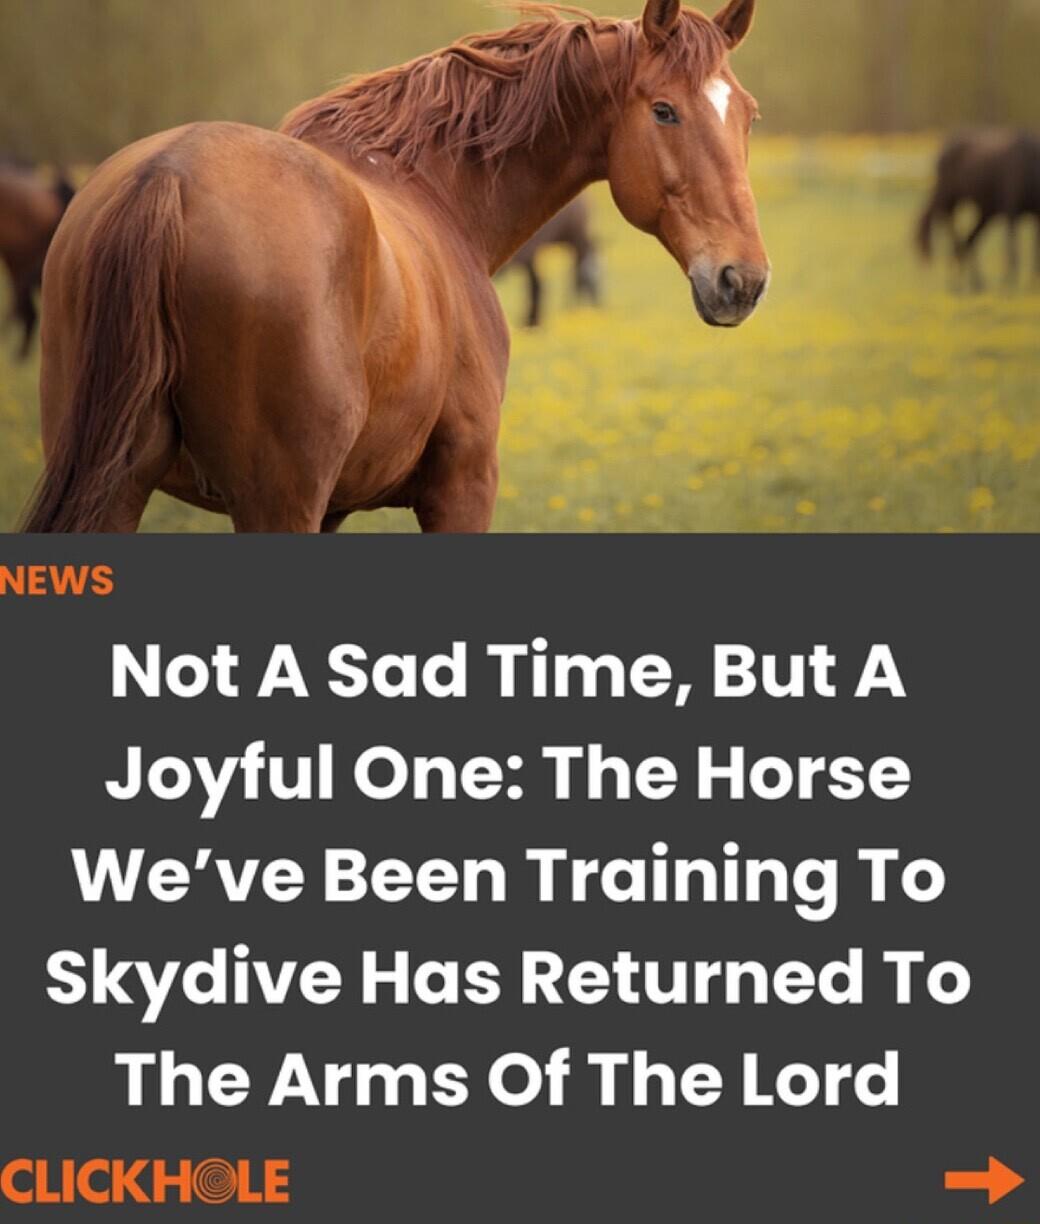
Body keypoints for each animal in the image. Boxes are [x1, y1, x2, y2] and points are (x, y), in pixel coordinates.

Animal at [917, 128, 1040, 290]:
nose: (923, 268)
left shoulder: (1032, 215)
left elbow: (1031, 250)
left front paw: (1028, 284)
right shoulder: (1011, 210)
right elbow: (1013, 249)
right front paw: (1010, 284)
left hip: (982, 211)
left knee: (966, 240)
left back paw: (974, 282)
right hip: (954, 201)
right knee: (958, 239)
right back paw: (960, 282)